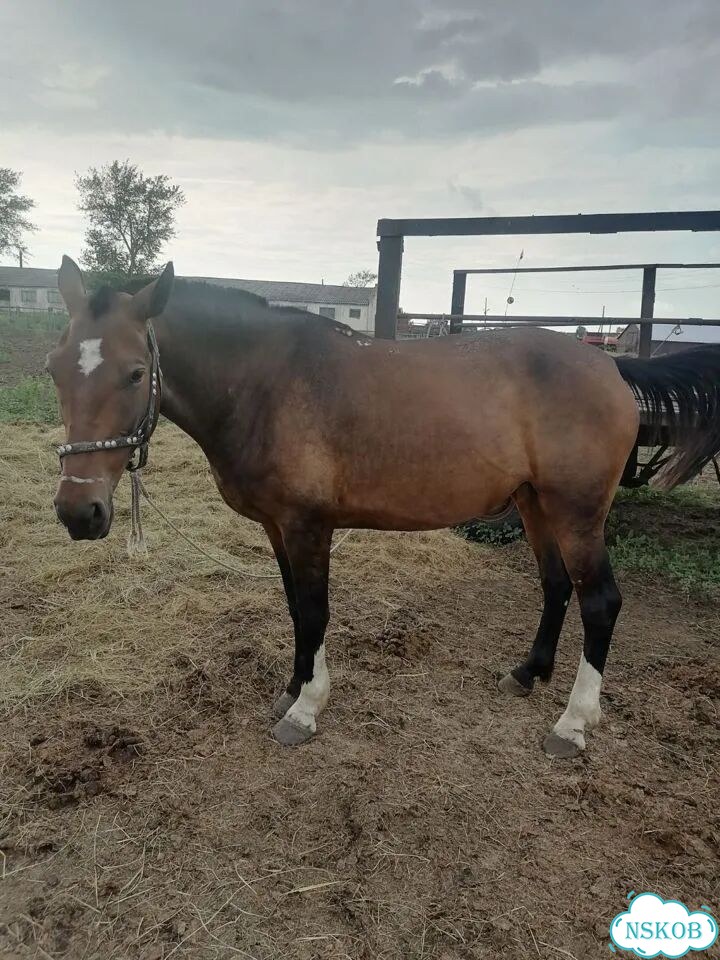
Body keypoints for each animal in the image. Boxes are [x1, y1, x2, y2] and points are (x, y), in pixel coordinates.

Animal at [48, 256, 720, 757]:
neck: (267, 383)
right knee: (555, 585)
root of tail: (612, 366)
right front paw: (291, 687)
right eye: (55, 369)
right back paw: (527, 674)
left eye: (136, 373)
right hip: (534, 504)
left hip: (577, 512)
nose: (79, 513)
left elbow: (315, 612)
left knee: (600, 601)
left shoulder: (307, 526)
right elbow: (295, 609)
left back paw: (574, 724)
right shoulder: (277, 527)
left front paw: (306, 708)